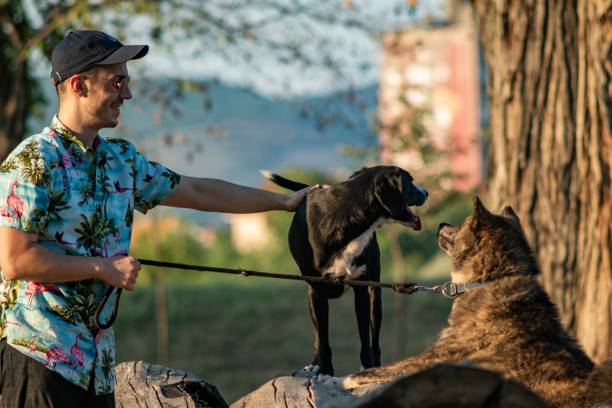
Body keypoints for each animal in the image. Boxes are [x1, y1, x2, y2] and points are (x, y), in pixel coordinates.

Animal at [262, 167, 426, 376]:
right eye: (410, 181)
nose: (426, 192)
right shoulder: (316, 293)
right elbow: (322, 340)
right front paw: (324, 370)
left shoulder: (362, 290)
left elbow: (365, 339)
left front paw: (367, 368)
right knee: (318, 337)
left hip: (375, 295)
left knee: (375, 340)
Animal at [340, 198, 608, 408]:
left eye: (463, 223)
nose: (441, 223)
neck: (488, 280)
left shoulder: (439, 357)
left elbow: (392, 367)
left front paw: (353, 376)